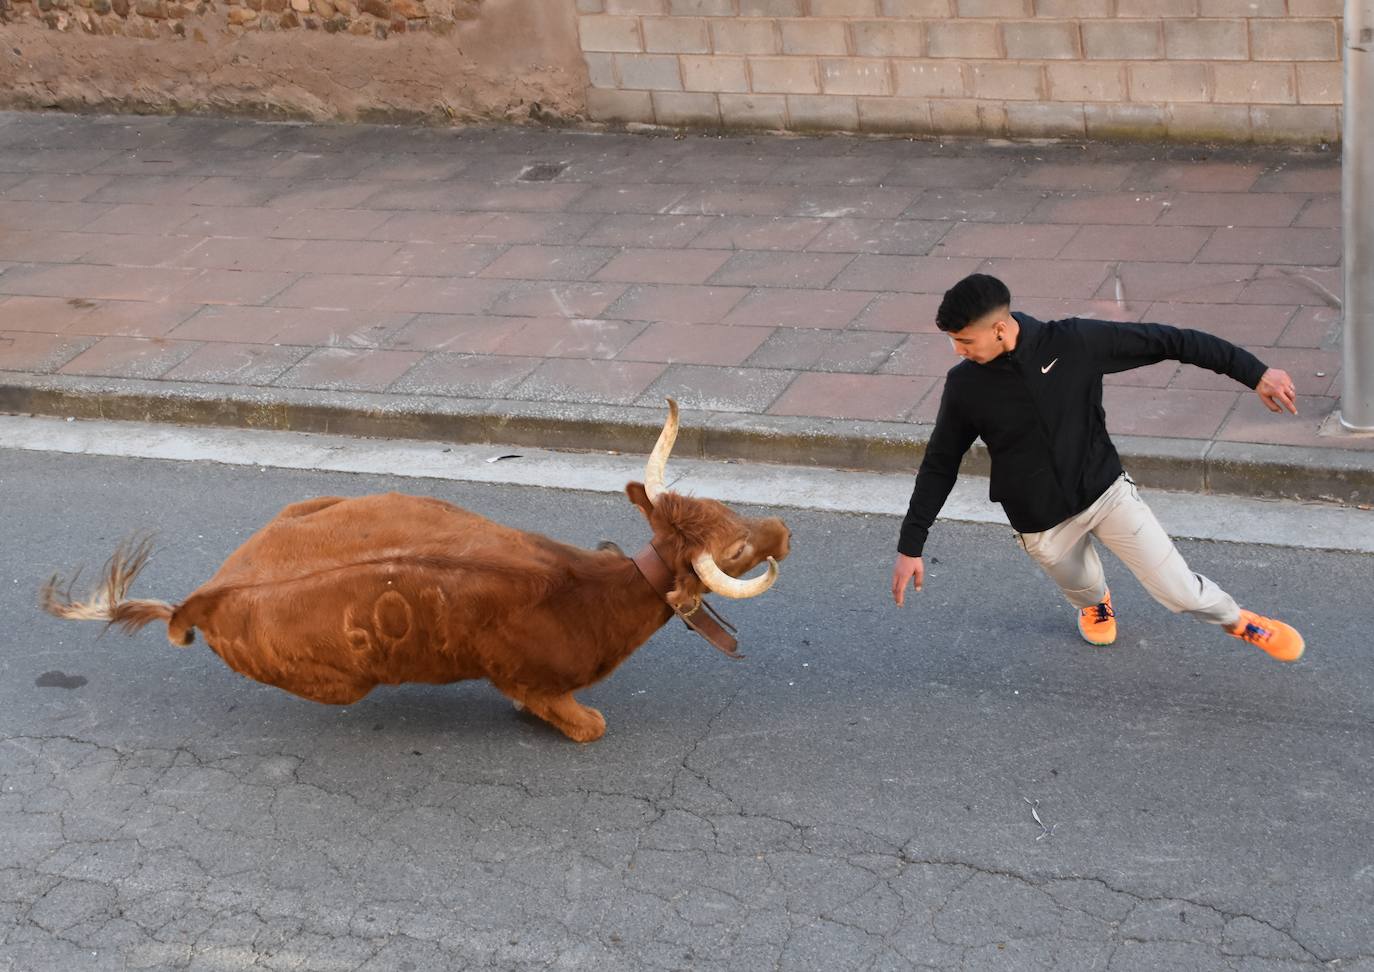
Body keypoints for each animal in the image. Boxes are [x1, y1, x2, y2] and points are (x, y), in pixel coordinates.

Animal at [42, 398, 791, 742]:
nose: (784, 530)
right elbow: (587, 724)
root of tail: (201, 597)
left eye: (723, 506)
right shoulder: (534, 678)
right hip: (333, 683)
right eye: (732, 553)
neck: (593, 593)